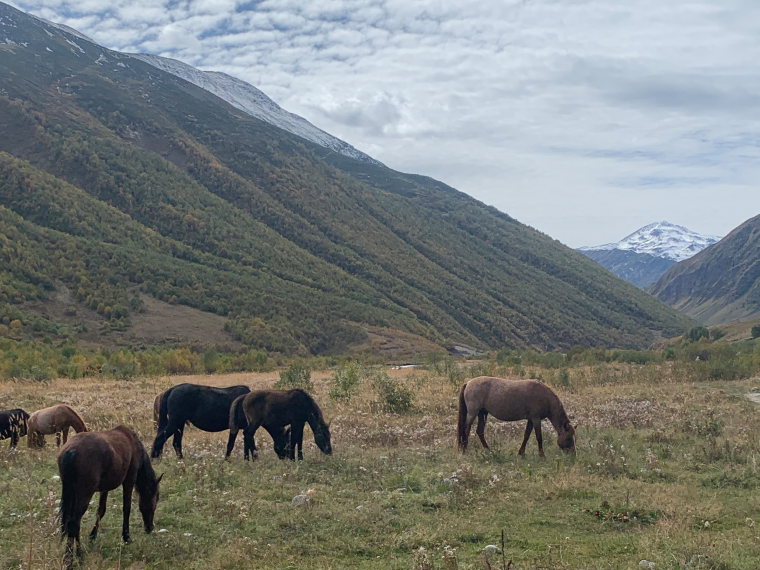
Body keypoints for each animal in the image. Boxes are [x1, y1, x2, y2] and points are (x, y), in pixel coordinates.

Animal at [58, 424, 162, 564]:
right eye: (155, 499)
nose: (150, 528)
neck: (133, 443)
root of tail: (71, 451)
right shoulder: (129, 479)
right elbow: (127, 508)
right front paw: (126, 537)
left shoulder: (104, 488)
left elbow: (101, 511)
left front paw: (93, 536)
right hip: (85, 493)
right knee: (74, 523)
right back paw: (75, 557)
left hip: (72, 492)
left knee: (71, 522)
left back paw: (73, 554)